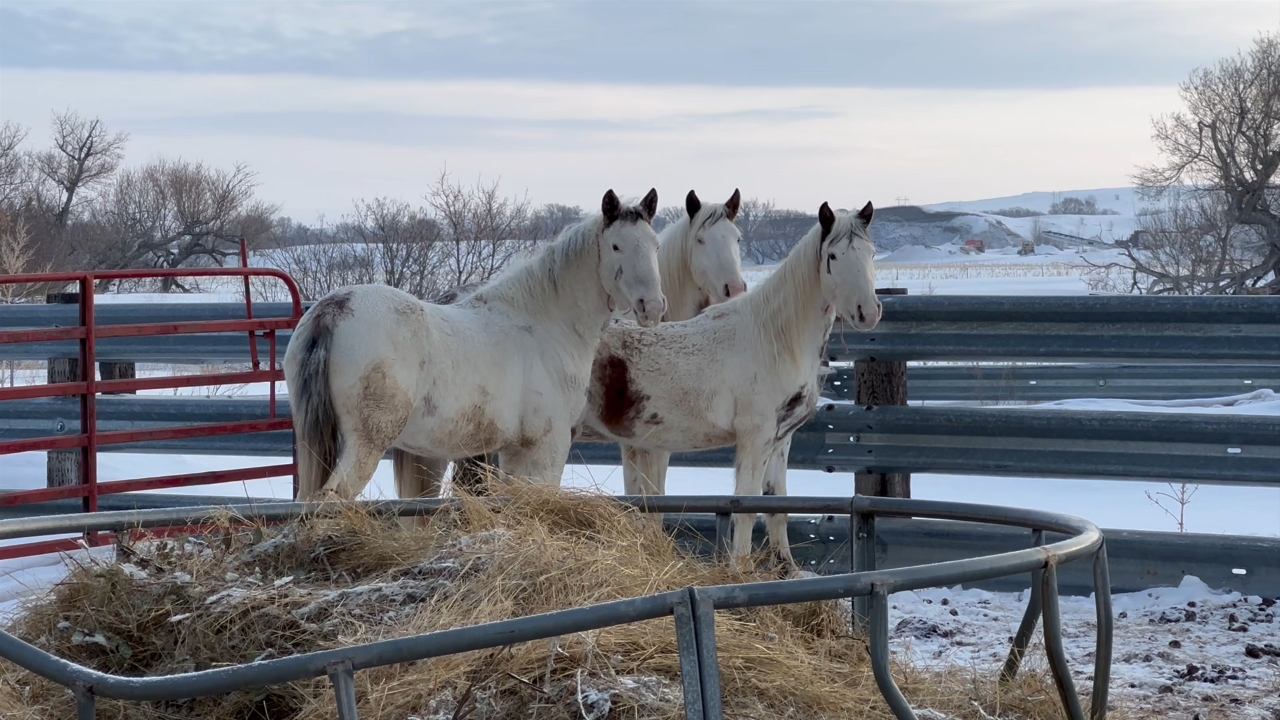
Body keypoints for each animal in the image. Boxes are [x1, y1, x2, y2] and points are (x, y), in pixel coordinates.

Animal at [285, 189, 666, 505]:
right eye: (616, 246)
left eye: (654, 245)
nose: (652, 307)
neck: (545, 322)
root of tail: (332, 310)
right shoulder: (549, 446)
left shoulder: (515, 451)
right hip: (365, 444)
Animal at [577, 201, 882, 571]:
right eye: (834, 256)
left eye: (871, 253)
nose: (868, 312)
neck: (774, 338)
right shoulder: (754, 438)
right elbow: (746, 509)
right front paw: (739, 571)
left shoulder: (780, 439)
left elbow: (777, 507)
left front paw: (785, 568)